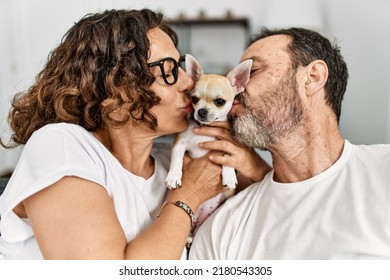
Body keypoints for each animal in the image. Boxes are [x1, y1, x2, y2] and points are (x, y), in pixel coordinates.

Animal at [164, 53, 250, 231]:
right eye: (194, 99)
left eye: (220, 102)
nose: (201, 111)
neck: (205, 128)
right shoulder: (179, 143)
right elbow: (177, 159)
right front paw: (173, 176)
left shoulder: (227, 142)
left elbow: (227, 157)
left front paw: (229, 176)